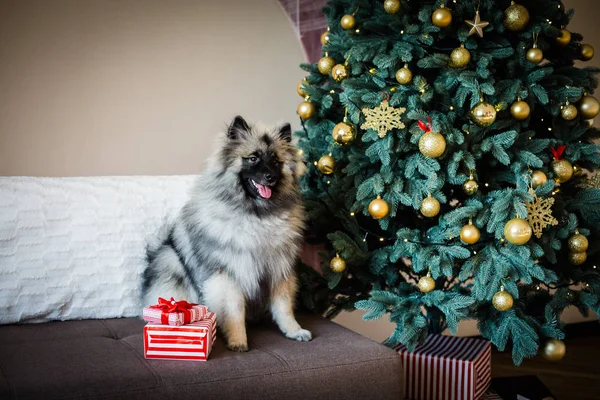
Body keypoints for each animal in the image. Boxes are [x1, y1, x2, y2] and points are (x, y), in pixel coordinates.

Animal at [141, 115, 310, 350]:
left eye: (276, 161)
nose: (270, 177)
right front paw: (238, 341)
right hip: (170, 261)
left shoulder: (279, 270)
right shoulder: (228, 274)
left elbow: (284, 307)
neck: (257, 215)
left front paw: (294, 331)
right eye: (253, 158)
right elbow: (234, 311)